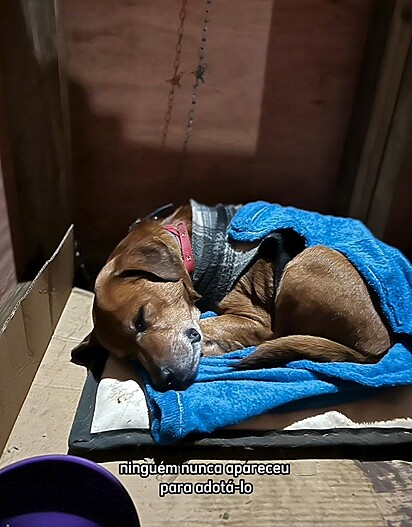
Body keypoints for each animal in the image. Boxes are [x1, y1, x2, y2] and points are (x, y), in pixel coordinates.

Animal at [72, 201, 392, 392]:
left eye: (141, 319)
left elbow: (208, 325)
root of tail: (378, 348)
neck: (189, 244)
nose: (166, 382)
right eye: (129, 356)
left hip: (308, 260)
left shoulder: (255, 318)